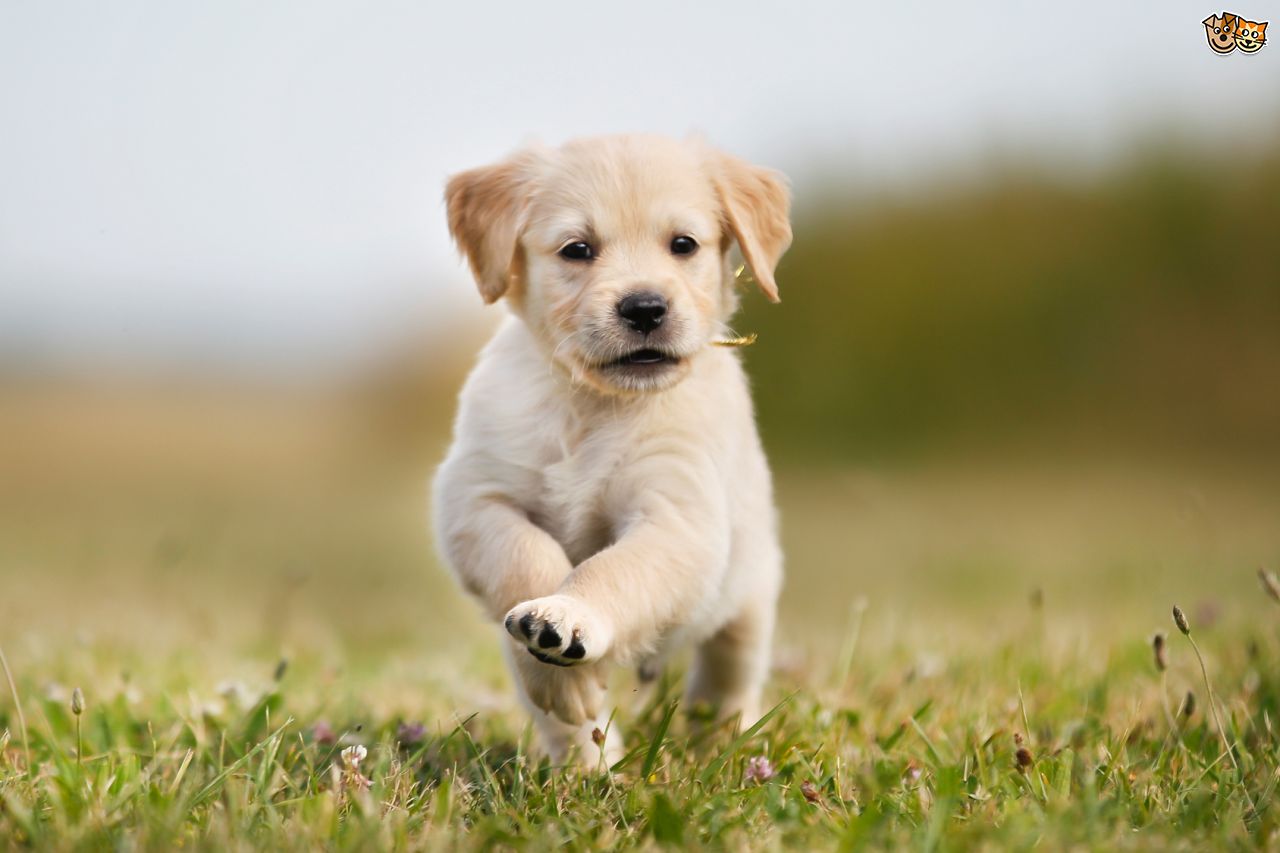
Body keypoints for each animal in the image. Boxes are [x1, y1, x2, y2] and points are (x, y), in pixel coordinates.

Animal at [432, 134, 788, 763]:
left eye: (683, 244)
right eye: (578, 249)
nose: (645, 308)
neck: (595, 406)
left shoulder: (678, 518)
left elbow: (613, 570)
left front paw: (569, 614)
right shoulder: (474, 499)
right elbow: (527, 557)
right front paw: (560, 667)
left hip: (751, 594)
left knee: (728, 676)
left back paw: (722, 745)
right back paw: (589, 768)